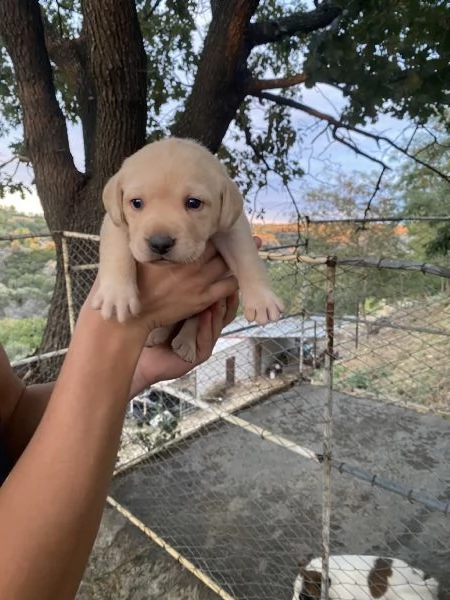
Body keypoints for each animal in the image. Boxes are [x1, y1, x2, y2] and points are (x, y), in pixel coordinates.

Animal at [92, 137, 284, 360]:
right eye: (136, 203)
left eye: (193, 203)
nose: (160, 243)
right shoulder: (113, 220)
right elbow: (116, 253)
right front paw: (116, 296)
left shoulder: (233, 228)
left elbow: (248, 258)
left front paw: (262, 301)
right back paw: (157, 334)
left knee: (193, 318)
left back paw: (185, 343)